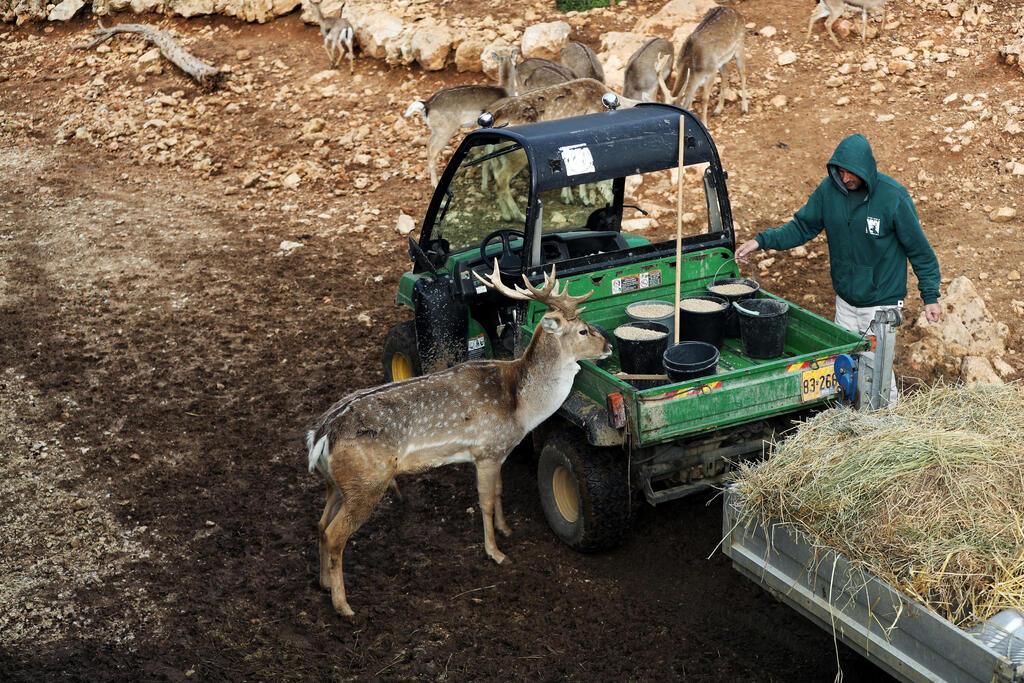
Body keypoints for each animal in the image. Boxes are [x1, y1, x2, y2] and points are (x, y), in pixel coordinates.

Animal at [306, 261, 611, 616]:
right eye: (583, 331)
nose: (608, 347)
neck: (520, 407)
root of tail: (321, 434)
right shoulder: (487, 451)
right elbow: (485, 501)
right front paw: (496, 553)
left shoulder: (498, 451)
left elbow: (499, 492)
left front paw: (506, 530)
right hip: (366, 482)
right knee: (335, 535)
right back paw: (343, 606)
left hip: (337, 483)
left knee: (320, 525)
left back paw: (324, 584)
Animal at [404, 48, 518, 186]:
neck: (505, 90)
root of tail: (425, 105)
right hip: (446, 130)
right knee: (433, 150)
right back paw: (435, 183)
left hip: (436, 129)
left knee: (428, 142)